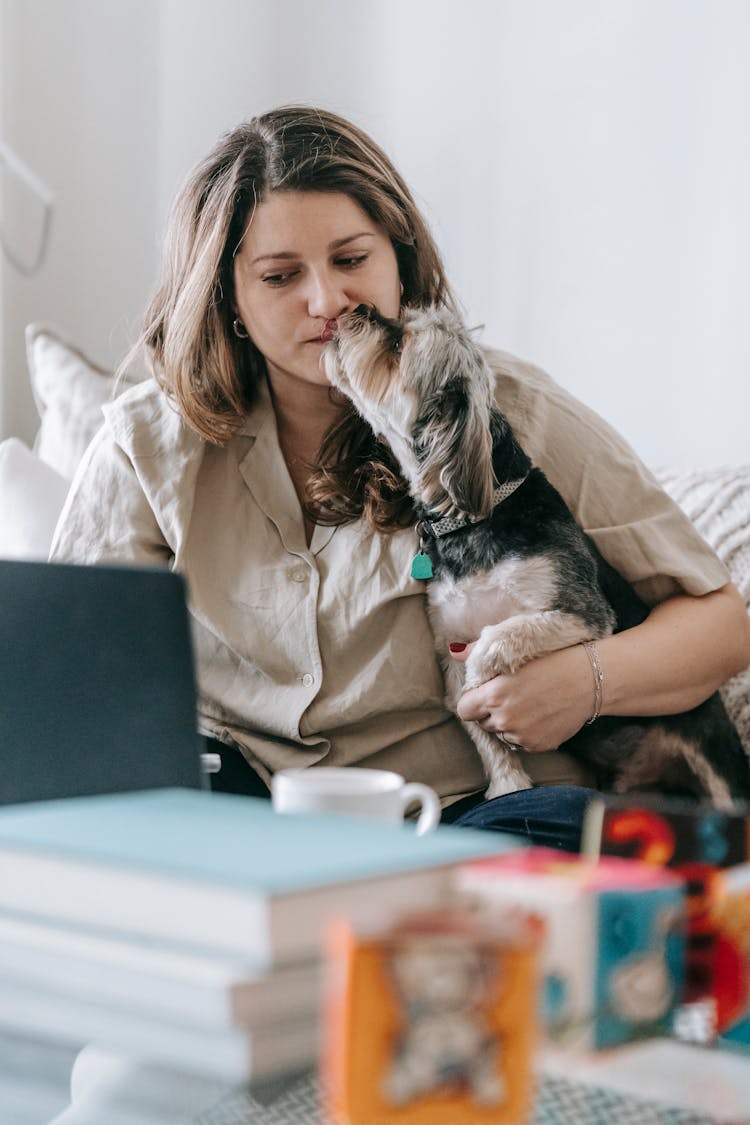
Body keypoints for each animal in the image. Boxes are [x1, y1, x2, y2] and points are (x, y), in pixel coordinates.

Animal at [326, 303, 750, 814]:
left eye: (397, 345)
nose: (358, 310)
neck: (475, 520)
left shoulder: (581, 614)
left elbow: (502, 635)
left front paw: (483, 672)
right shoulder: (448, 645)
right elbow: (484, 738)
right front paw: (509, 785)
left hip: (716, 762)